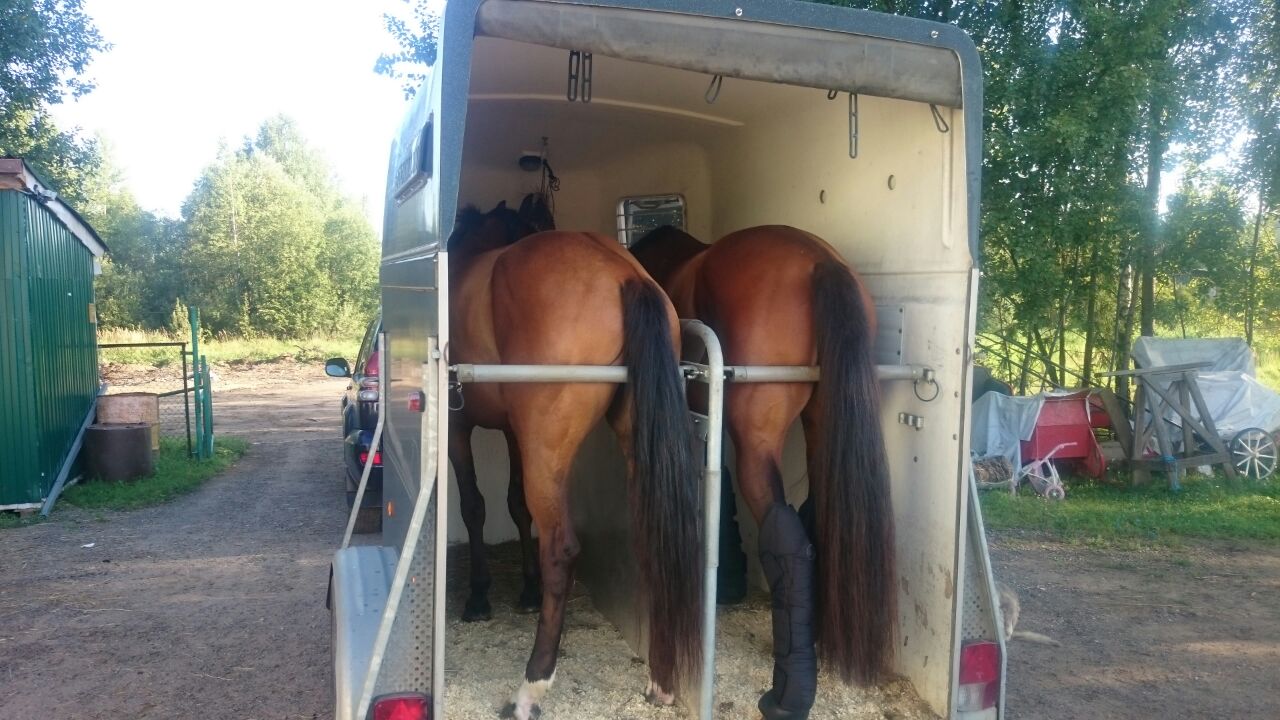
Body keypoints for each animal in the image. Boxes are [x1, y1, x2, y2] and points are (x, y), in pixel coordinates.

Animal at [450, 202, 706, 717]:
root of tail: (626, 275)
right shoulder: (514, 433)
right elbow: (514, 505)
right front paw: (524, 592)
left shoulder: (458, 428)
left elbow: (475, 505)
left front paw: (479, 598)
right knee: (650, 543)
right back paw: (661, 682)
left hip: (546, 448)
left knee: (560, 549)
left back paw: (530, 687)